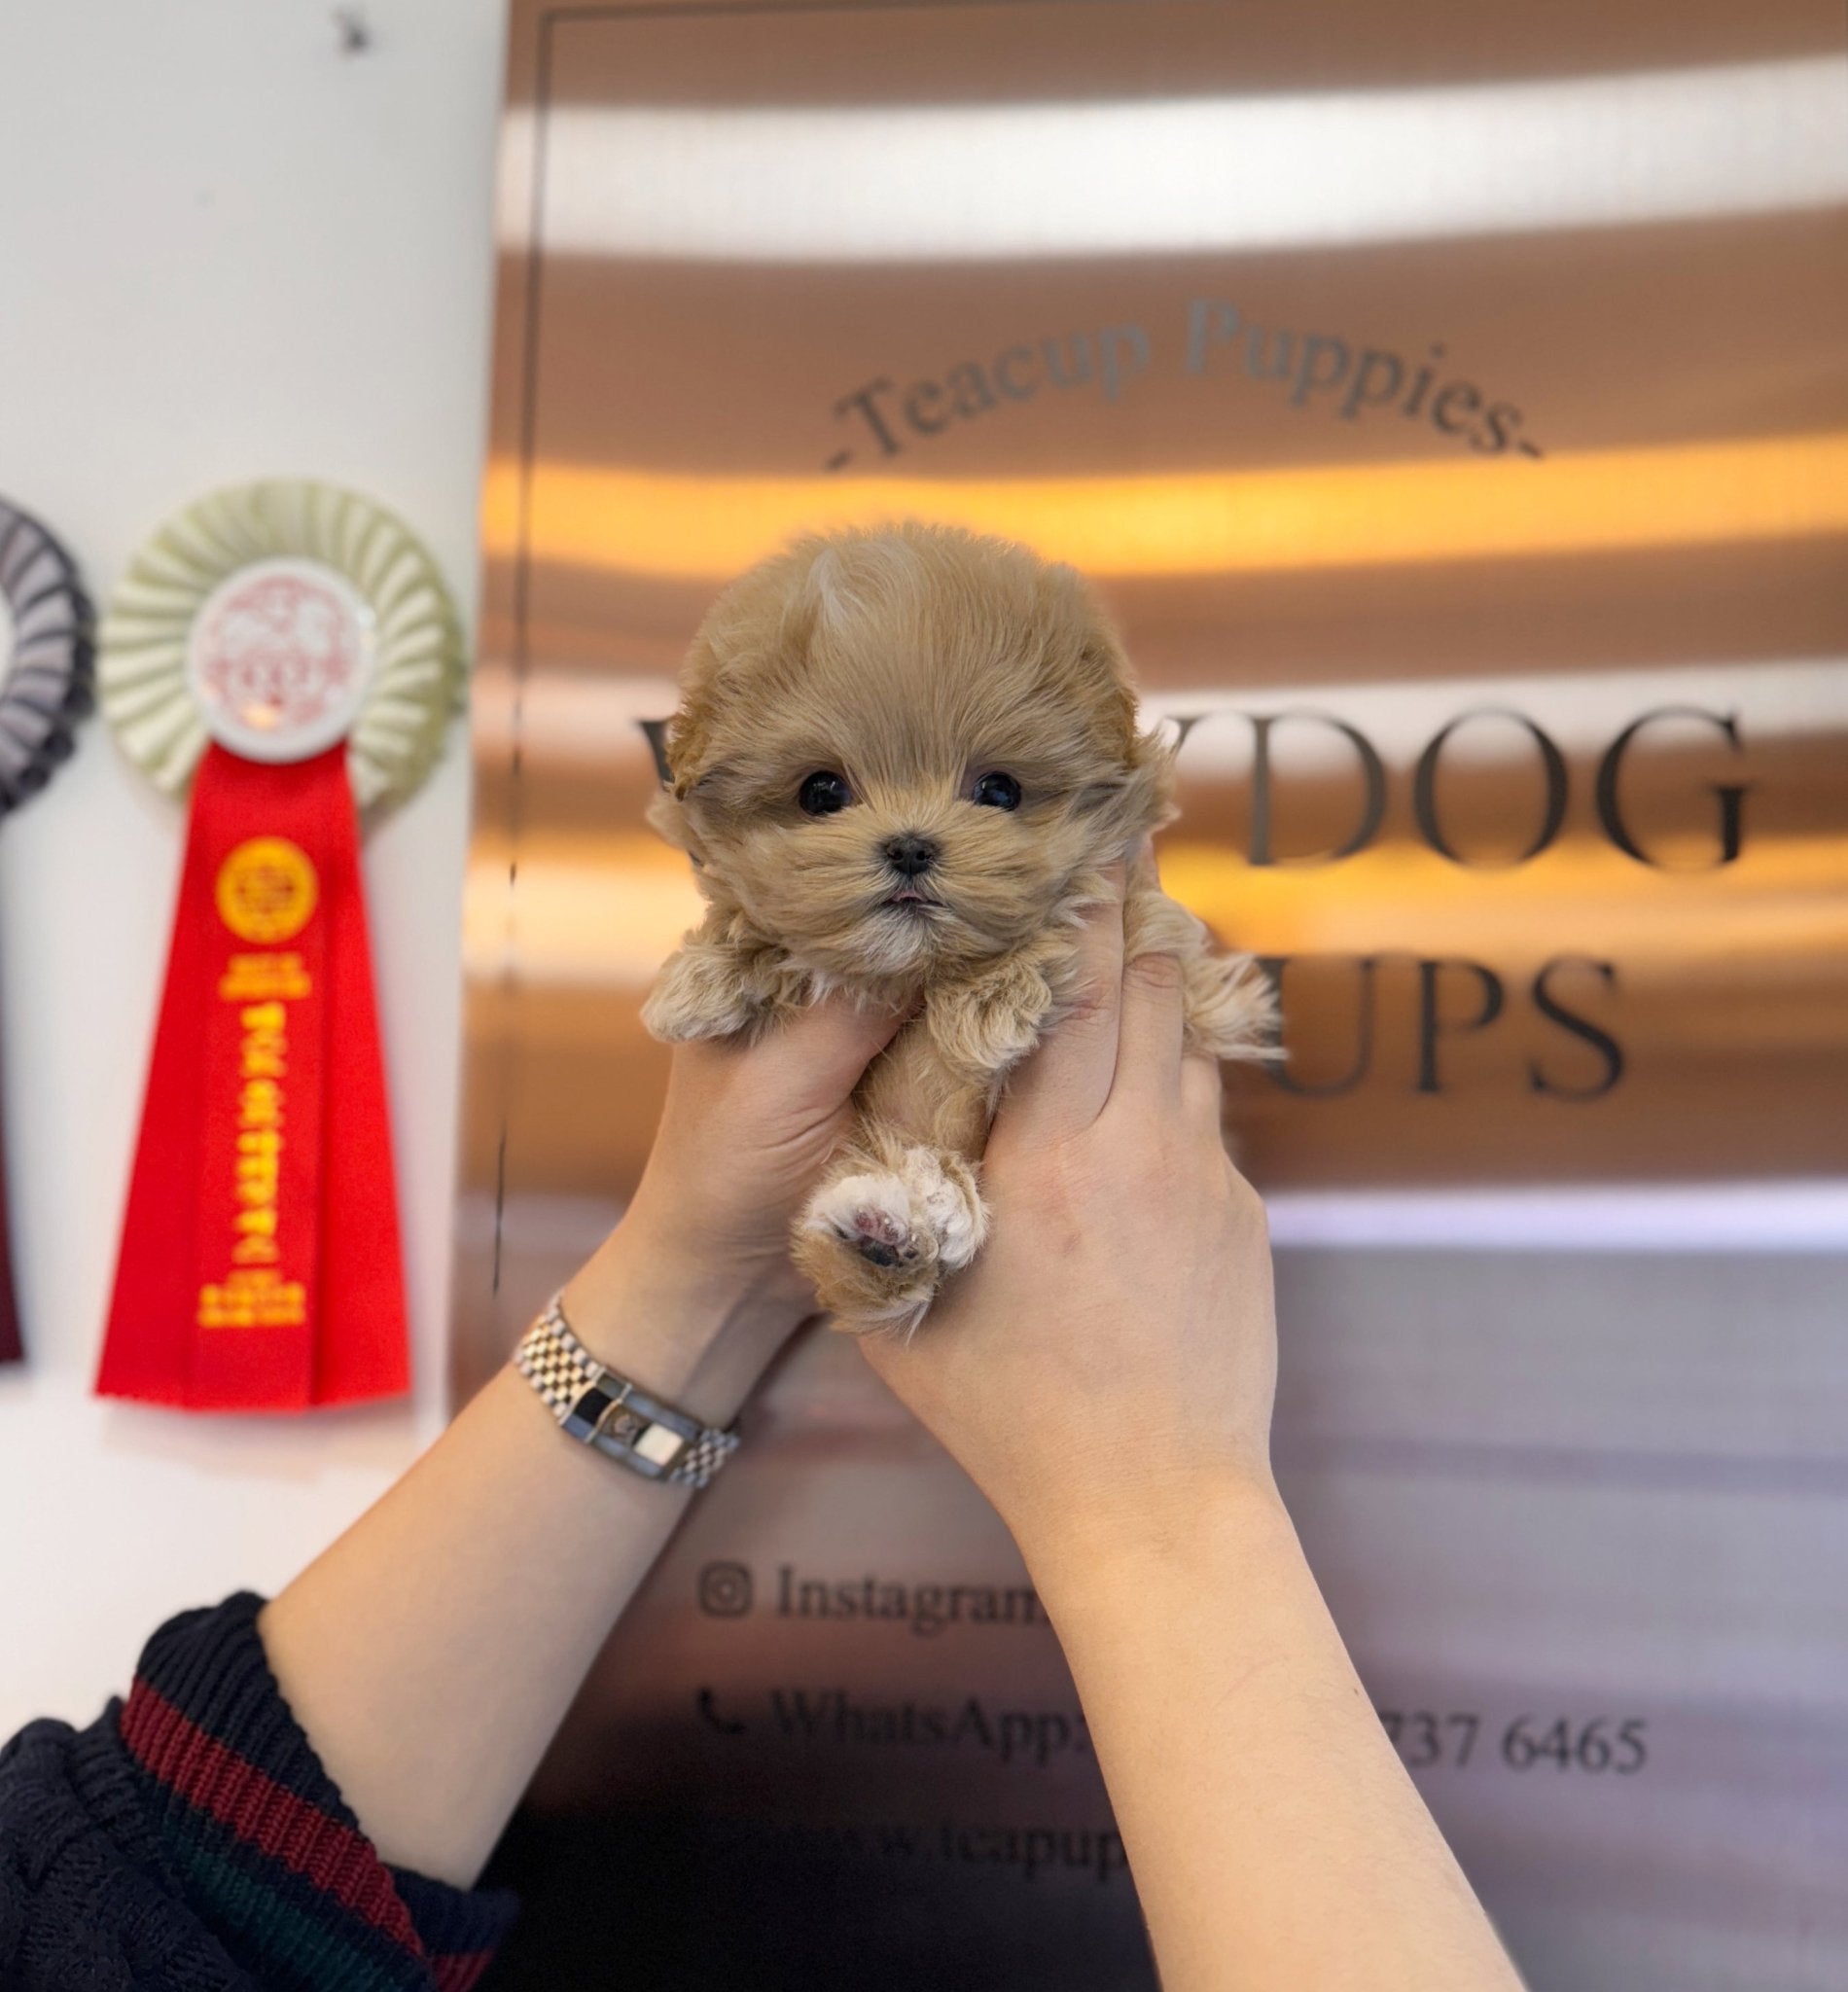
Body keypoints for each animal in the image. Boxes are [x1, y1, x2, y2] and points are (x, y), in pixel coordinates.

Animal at [645, 521, 1274, 1331]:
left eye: (998, 790)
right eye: (821, 792)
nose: (911, 846)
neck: (915, 968)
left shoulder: (1157, 935)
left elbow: (1069, 910)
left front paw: (988, 1003)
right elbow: (751, 918)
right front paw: (701, 982)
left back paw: (910, 1218)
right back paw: (885, 1231)